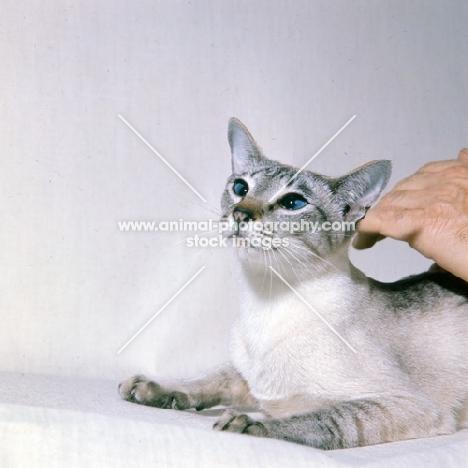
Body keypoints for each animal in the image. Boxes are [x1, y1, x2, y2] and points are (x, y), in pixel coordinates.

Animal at [119, 117, 468, 450]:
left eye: (293, 204)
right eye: (240, 188)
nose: (240, 213)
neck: (265, 300)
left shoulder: (408, 405)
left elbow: (323, 419)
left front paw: (248, 424)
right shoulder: (254, 381)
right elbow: (213, 378)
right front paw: (154, 388)